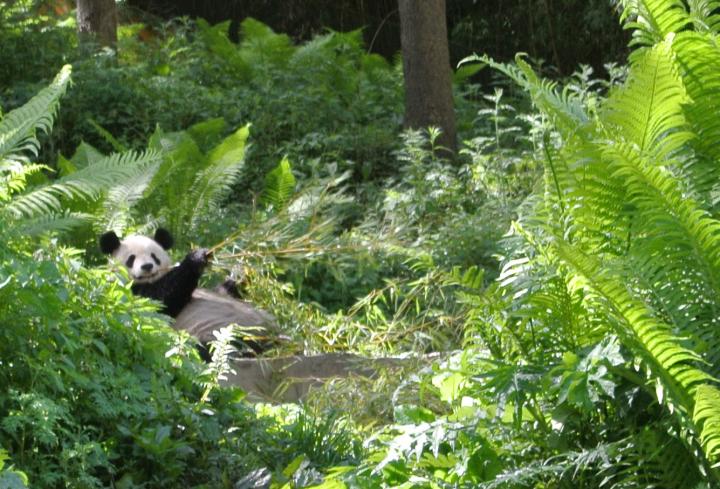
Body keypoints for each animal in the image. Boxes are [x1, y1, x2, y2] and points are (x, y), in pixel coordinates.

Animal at [100, 227, 278, 356]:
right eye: (131, 259)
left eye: (154, 256)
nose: (147, 266)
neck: (151, 280)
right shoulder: (131, 294)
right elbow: (160, 300)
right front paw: (196, 258)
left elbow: (225, 289)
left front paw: (245, 272)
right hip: (219, 335)